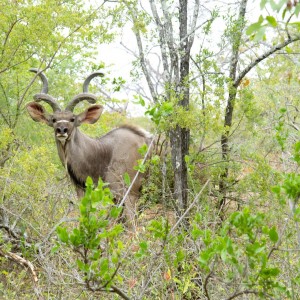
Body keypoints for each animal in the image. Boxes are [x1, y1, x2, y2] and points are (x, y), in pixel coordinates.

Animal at [26, 68, 152, 227]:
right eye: (54, 119)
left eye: (72, 119)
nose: (61, 130)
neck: (101, 152)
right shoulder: (82, 190)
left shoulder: (127, 194)